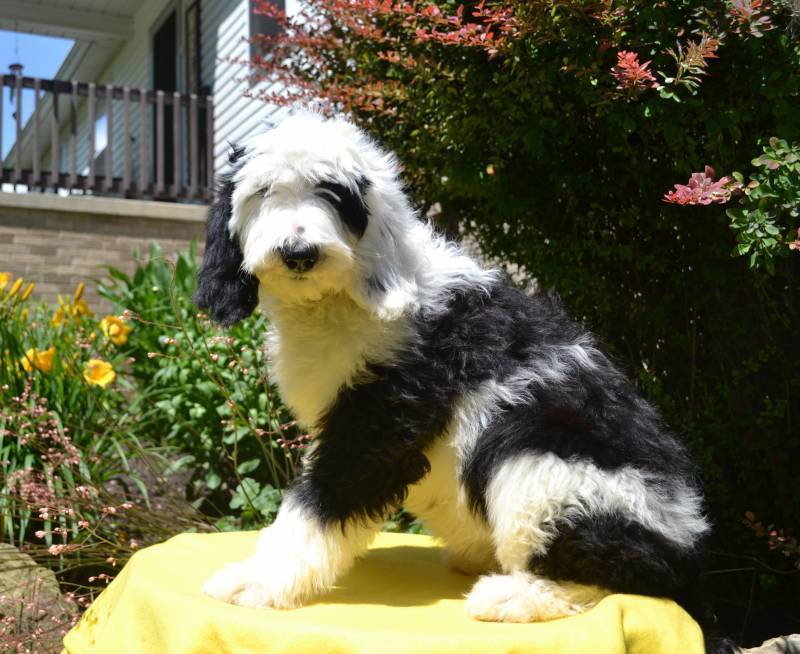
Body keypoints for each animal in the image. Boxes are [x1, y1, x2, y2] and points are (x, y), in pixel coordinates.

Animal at [197, 115, 716, 640]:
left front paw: (257, 580)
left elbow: (316, 505)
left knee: (617, 572)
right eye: (263, 191)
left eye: (334, 195)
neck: (343, 299)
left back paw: (512, 596)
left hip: (539, 457)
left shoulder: (378, 422)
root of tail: (688, 546)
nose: (299, 253)